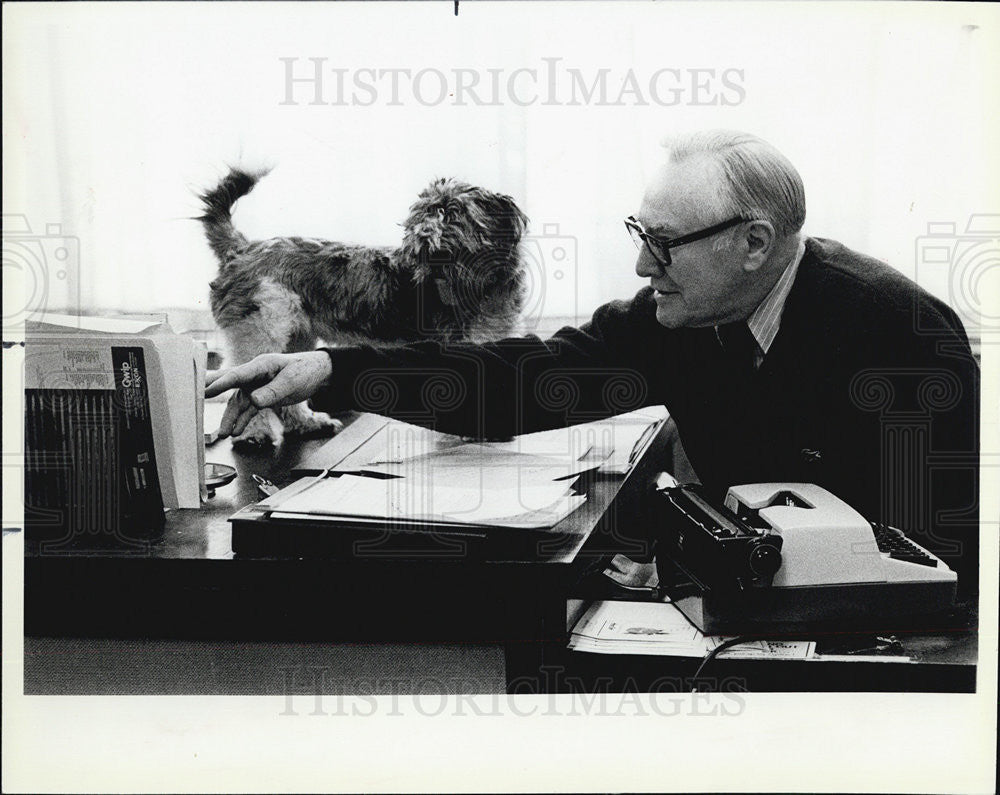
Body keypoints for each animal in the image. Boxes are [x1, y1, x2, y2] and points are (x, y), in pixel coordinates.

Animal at [198, 166, 528, 448]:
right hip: (260, 335)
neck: (478, 285)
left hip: (295, 339)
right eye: (422, 213)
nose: (420, 234)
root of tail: (242, 248)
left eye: (452, 212)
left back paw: (307, 424)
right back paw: (254, 434)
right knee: (246, 392)